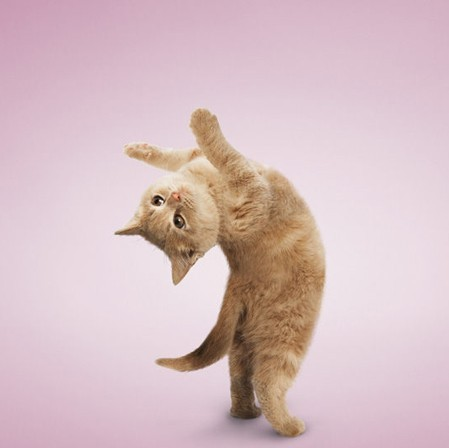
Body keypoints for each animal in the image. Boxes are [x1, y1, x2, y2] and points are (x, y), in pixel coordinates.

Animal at [115, 109, 325, 437]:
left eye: (159, 203)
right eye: (177, 221)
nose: (174, 195)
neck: (208, 186)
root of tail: (238, 282)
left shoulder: (194, 158)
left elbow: (173, 155)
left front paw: (136, 148)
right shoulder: (254, 196)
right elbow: (230, 158)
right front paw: (202, 120)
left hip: (239, 342)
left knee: (239, 378)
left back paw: (245, 413)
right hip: (287, 336)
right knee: (266, 381)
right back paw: (289, 426)